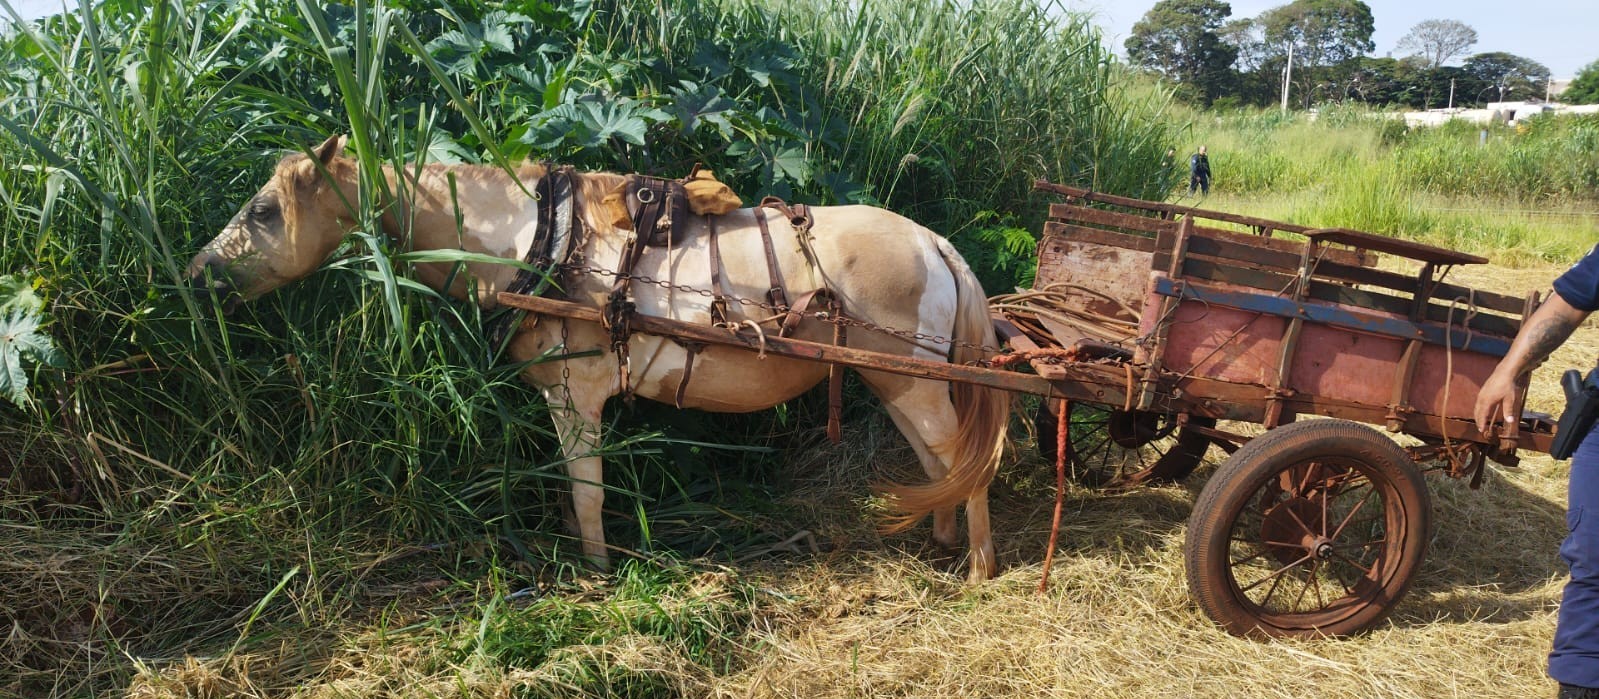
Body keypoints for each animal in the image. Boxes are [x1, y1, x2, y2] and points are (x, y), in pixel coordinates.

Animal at [187, 135, 1010, 582]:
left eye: (263, 211)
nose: (196, 275)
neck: (536, 241)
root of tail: (934, 242)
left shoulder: (573, 396)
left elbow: (586, 493)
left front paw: (595, 575)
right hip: (896, 379)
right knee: (938, 462)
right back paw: (945, 541)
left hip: (909, 379)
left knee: (965, 461)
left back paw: (978, 565)